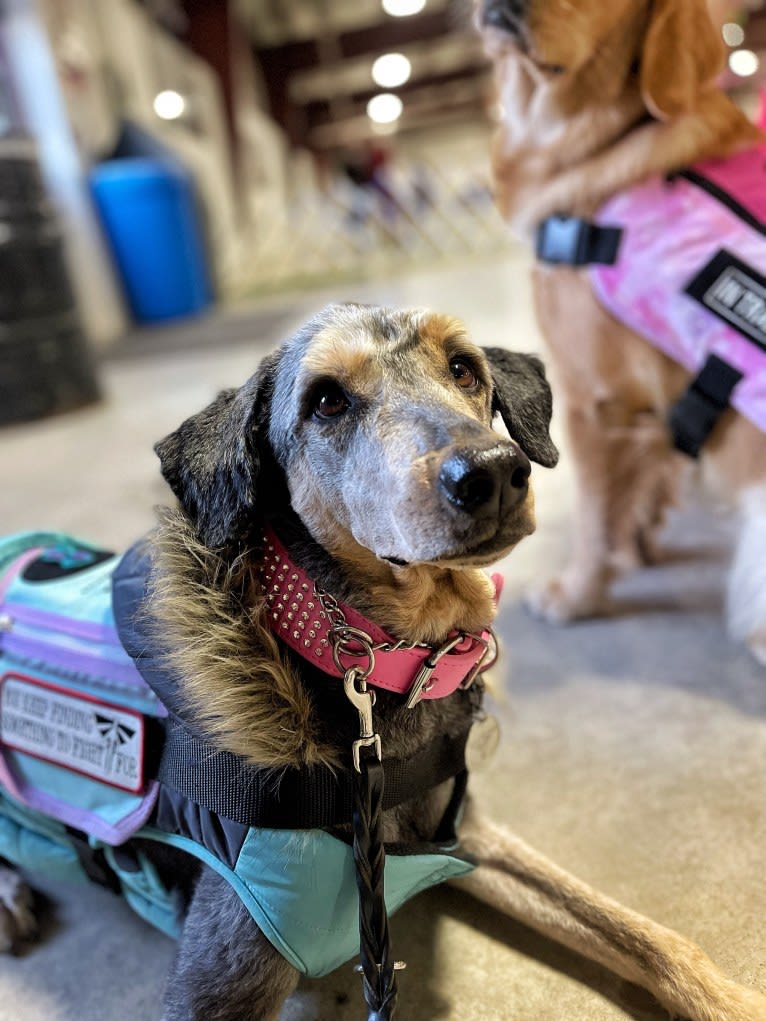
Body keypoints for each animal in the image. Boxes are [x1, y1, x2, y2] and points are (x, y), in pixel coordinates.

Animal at [1, 304, 766, 1021]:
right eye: (326, 401)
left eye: (464, 368)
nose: (493, 472)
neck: (376, 665)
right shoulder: (219, 977)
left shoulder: (460, 831)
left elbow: (641, 933)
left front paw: (727, 995)